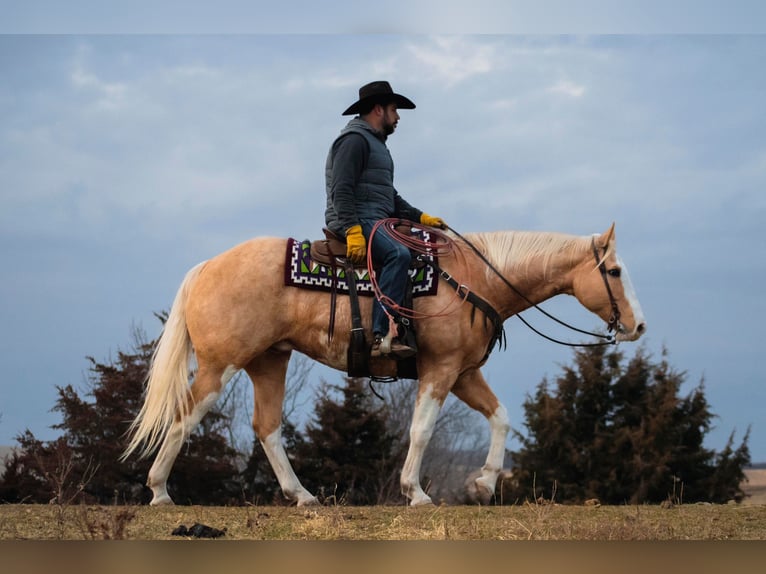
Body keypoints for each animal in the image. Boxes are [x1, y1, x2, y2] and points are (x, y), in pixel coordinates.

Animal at [124, 223, 648, 506]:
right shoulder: (440, 371)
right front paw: (416, 491)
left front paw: (482, 484)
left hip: (269, 361)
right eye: (615, 271)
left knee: (267, 427)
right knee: (184, 415)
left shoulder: (463, 373)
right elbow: (422, 428)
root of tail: (207, 266)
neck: (473, 280)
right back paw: (160, 492)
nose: (638, 326)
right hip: (222, 364)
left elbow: (501, 418)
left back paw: (303, 496)